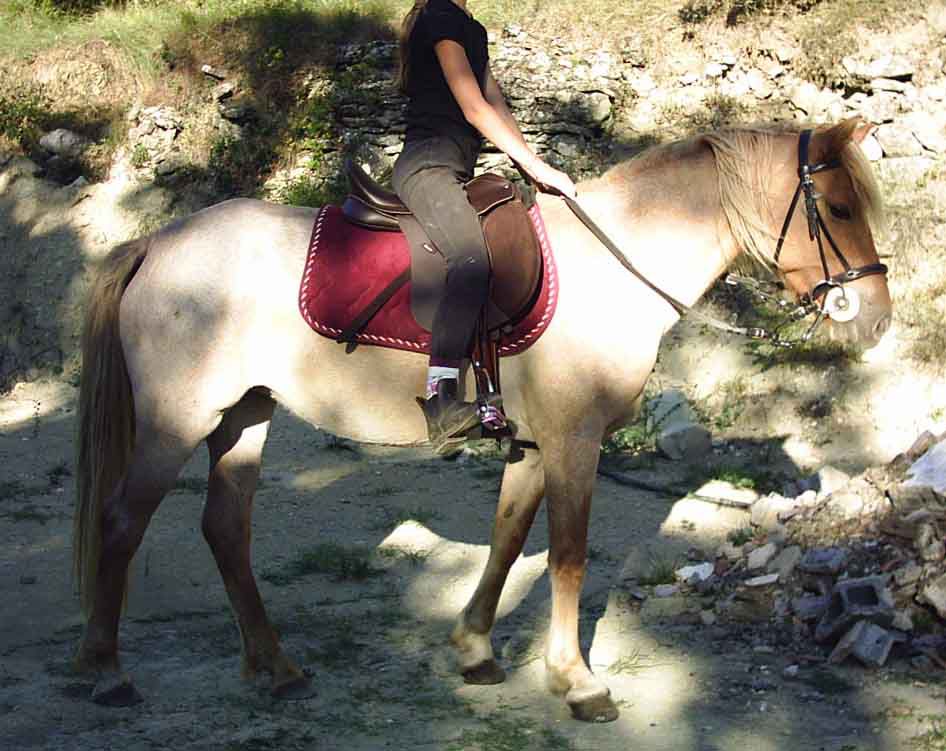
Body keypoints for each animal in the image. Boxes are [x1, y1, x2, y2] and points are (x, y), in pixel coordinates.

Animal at [72, 118, 892, 722]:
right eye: (839, 208)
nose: (875, 318)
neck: (610, 268)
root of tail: (156, 243)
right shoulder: (574, 441)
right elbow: (567, 556)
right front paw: (577, 682)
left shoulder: (531, 444)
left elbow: (507, 541)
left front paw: (476, 650)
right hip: (175, 423)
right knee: (121, 521)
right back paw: (108, 673)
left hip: (243, 416)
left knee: (225, 529)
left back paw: (275, 666)